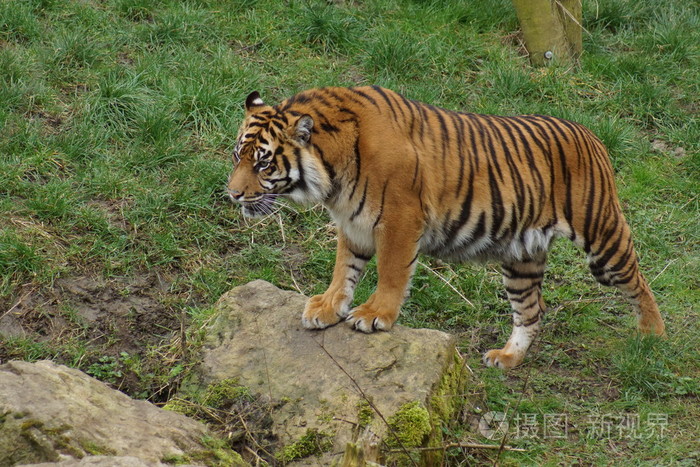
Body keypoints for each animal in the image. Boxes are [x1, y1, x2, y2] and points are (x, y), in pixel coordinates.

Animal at [227, 85, 666, 369]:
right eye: (237, 155)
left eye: (263, 163)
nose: (232, 194)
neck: (332, 172)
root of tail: (590, 134)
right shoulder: (353, 221)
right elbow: (344, 269)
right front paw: (328, 307)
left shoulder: (400, 219)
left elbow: (390, 272)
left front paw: (374, 315)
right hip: (521, 257)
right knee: (530, 310)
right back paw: (507, 358)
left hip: (602, 240)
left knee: (638, 280)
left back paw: (653, 336)